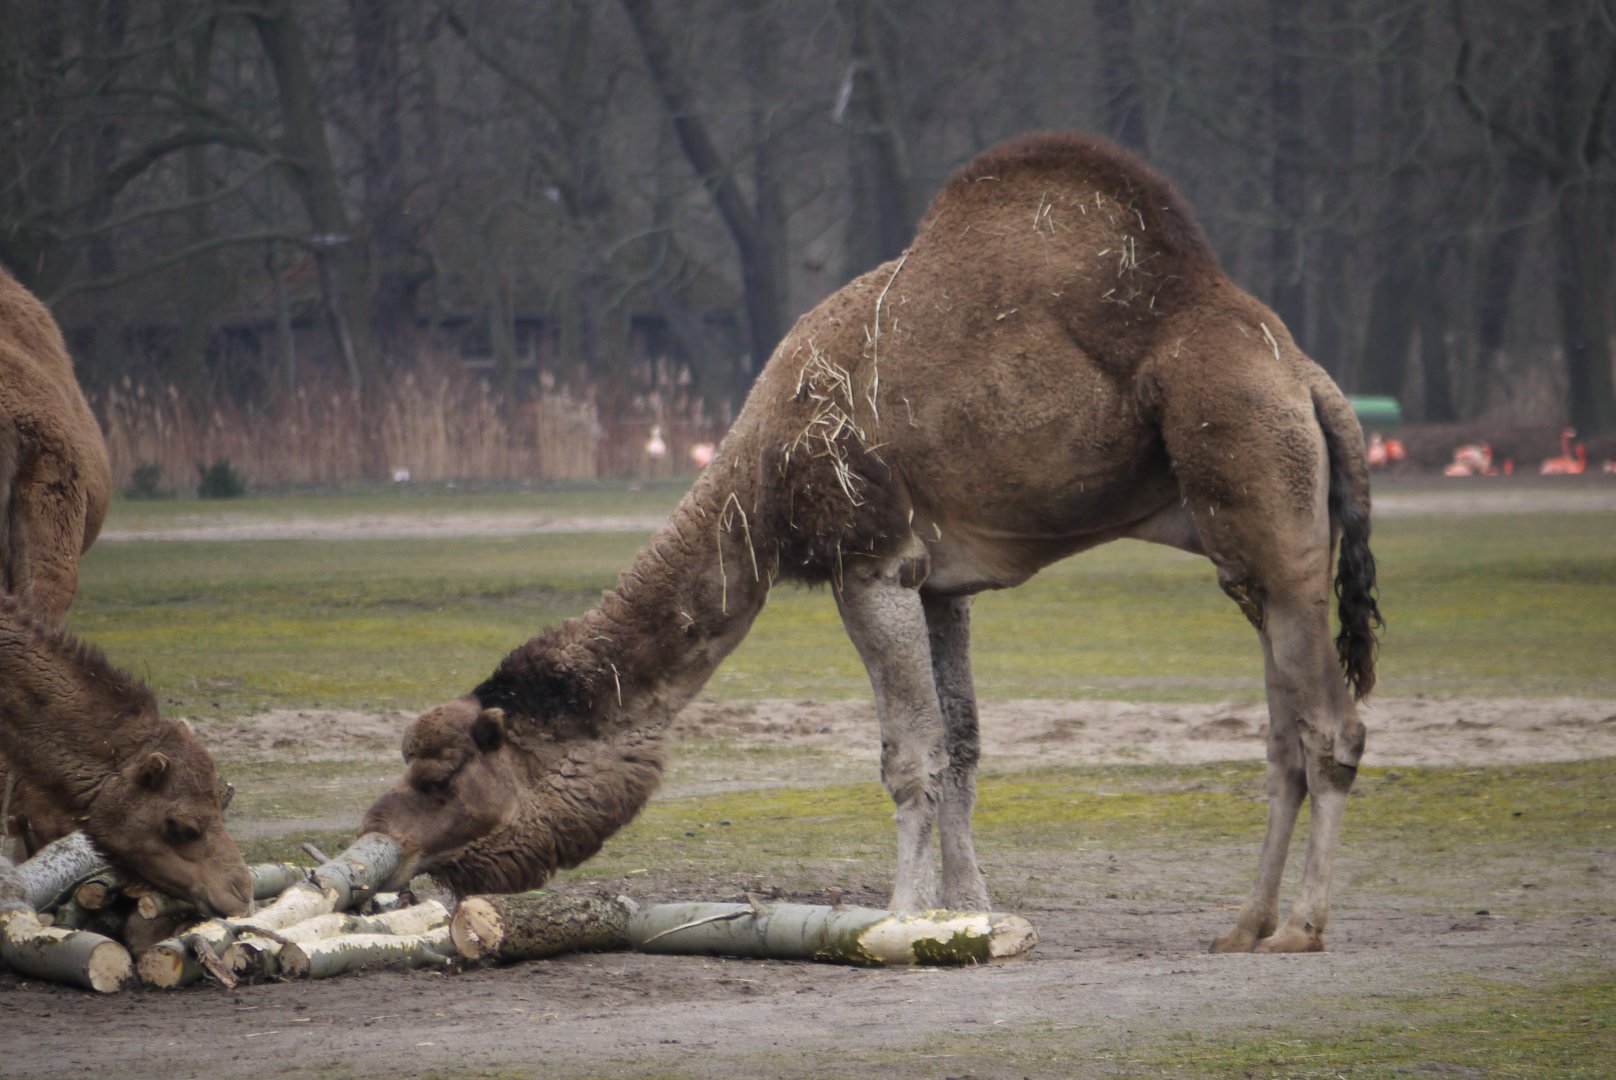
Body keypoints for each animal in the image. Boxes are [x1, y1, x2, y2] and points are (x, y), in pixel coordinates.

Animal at [363, 131, 1381, 954]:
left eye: (441, 777)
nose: (383, 840)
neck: (760, 485)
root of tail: (1311, 380)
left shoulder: (871, 564)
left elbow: (909, 756)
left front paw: (898, 917)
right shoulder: (942, 584)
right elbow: (962, 744)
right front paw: (975, 908)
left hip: (1269, 509)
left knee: (1331, 724)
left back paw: (1300, 928)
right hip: (1247, 551)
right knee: (1282, 733)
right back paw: (1242, 925)